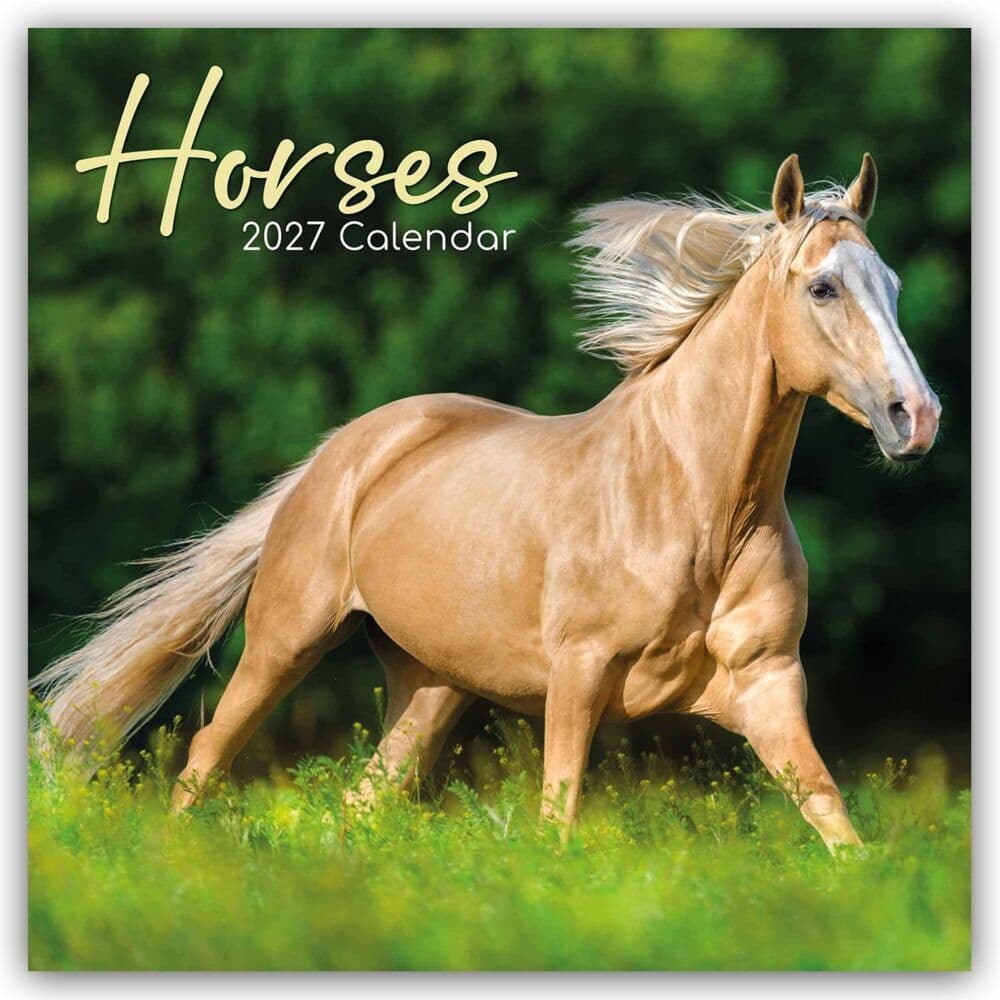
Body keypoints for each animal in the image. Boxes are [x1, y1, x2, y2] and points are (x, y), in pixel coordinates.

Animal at [33, 153, 941, 852]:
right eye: (823, 288)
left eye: (893, 284)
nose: (917, 416)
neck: (696, 509)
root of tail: (342, 452)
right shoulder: (578, 675)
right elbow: (557, 822)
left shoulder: (768, 683)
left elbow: (836, 823)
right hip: (284, 642)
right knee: (204, 759)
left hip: (431, 686)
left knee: (362, 800)